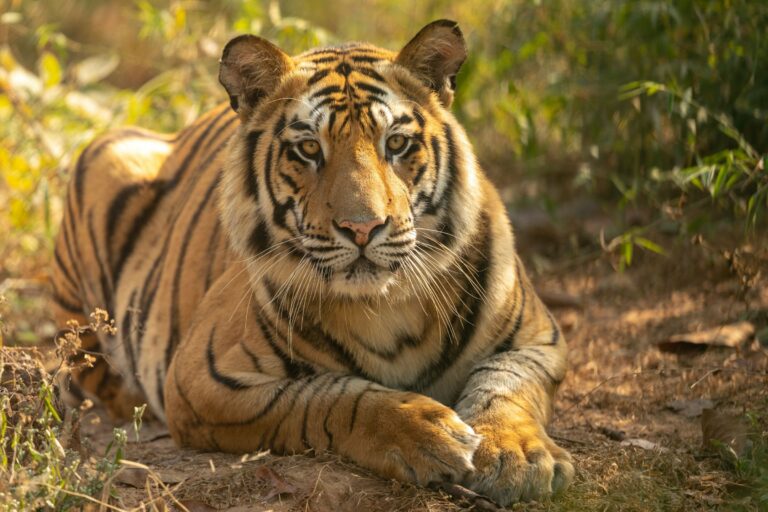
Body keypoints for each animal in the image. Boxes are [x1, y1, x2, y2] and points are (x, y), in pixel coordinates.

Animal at [50, 20, 574, 504]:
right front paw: (426, 432)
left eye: (396, 144)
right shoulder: (203, 380)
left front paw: (516, 456)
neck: (385, 305)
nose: (363, 228)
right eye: (308, 149)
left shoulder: (538, 341)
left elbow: (505, 387)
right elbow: (330, 397)